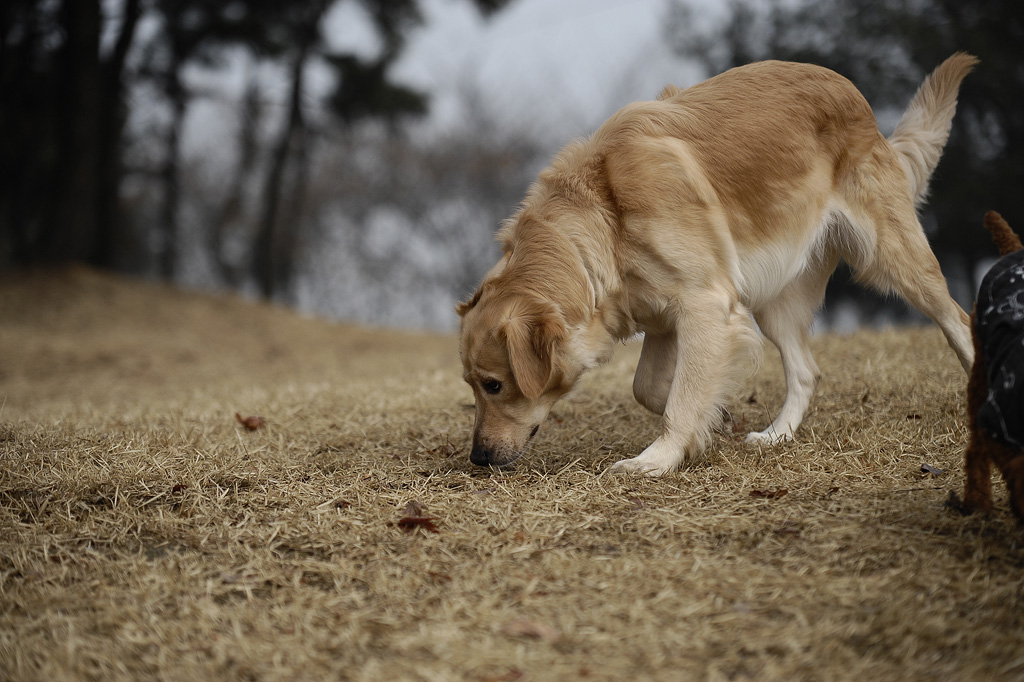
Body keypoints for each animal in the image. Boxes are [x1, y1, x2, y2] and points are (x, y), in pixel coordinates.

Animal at [462, 51, 974, 473]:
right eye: (471, 385)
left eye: (493, 385)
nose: (478, 458)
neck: (604, 217)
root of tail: (853, 94)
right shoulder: (663, 316)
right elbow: (651, 388)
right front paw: (718, 417)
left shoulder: (704, 303)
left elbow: (680, 397)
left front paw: (657, 459)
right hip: (775, 298)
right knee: (806, 371)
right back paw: (776, 436)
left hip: (894, 258)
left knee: (958, 321)